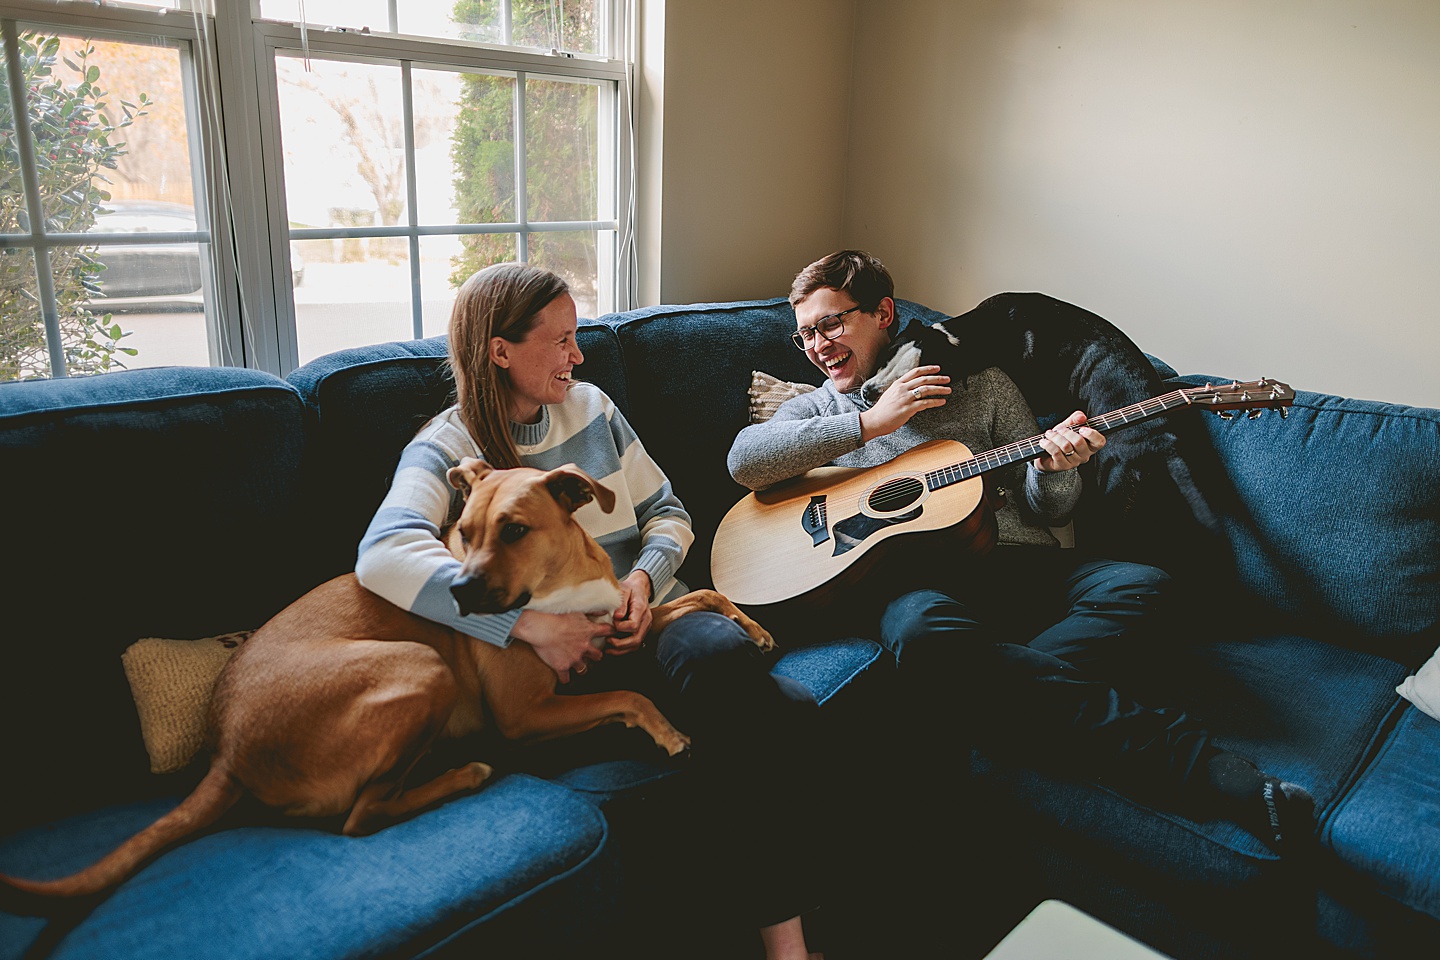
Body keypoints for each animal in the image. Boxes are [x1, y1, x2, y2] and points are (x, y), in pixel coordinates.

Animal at [2, 460, 777, 903]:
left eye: (515, 529)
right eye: (462, 532)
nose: (457, 593)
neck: (558, 584)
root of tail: (225, 746)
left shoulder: (618, 627)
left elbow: (700, 594)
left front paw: (758, 628)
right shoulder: (529, 711)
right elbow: (629, 692)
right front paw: (668, 731)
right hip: (419, 667)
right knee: (361, 817)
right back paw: (462, 774)